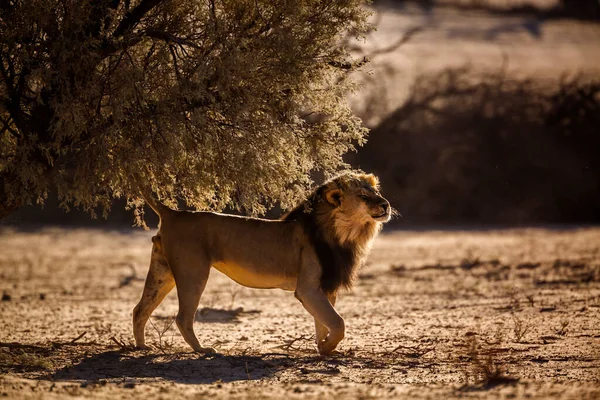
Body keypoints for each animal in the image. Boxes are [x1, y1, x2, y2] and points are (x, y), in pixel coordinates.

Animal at [134, 170, 392, 354]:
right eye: (364, 197)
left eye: (376, 192)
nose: (386, 205)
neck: (344, 233)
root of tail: (173, 212)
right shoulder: (308, 289)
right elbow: (338, 323)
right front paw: (328, 346)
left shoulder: (326, 286)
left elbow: (322, 322)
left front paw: (322, 347)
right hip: (193, 271)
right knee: (182, 317)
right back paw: (203, 350)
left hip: (162, 272)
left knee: (140, 309)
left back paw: (142, 347)